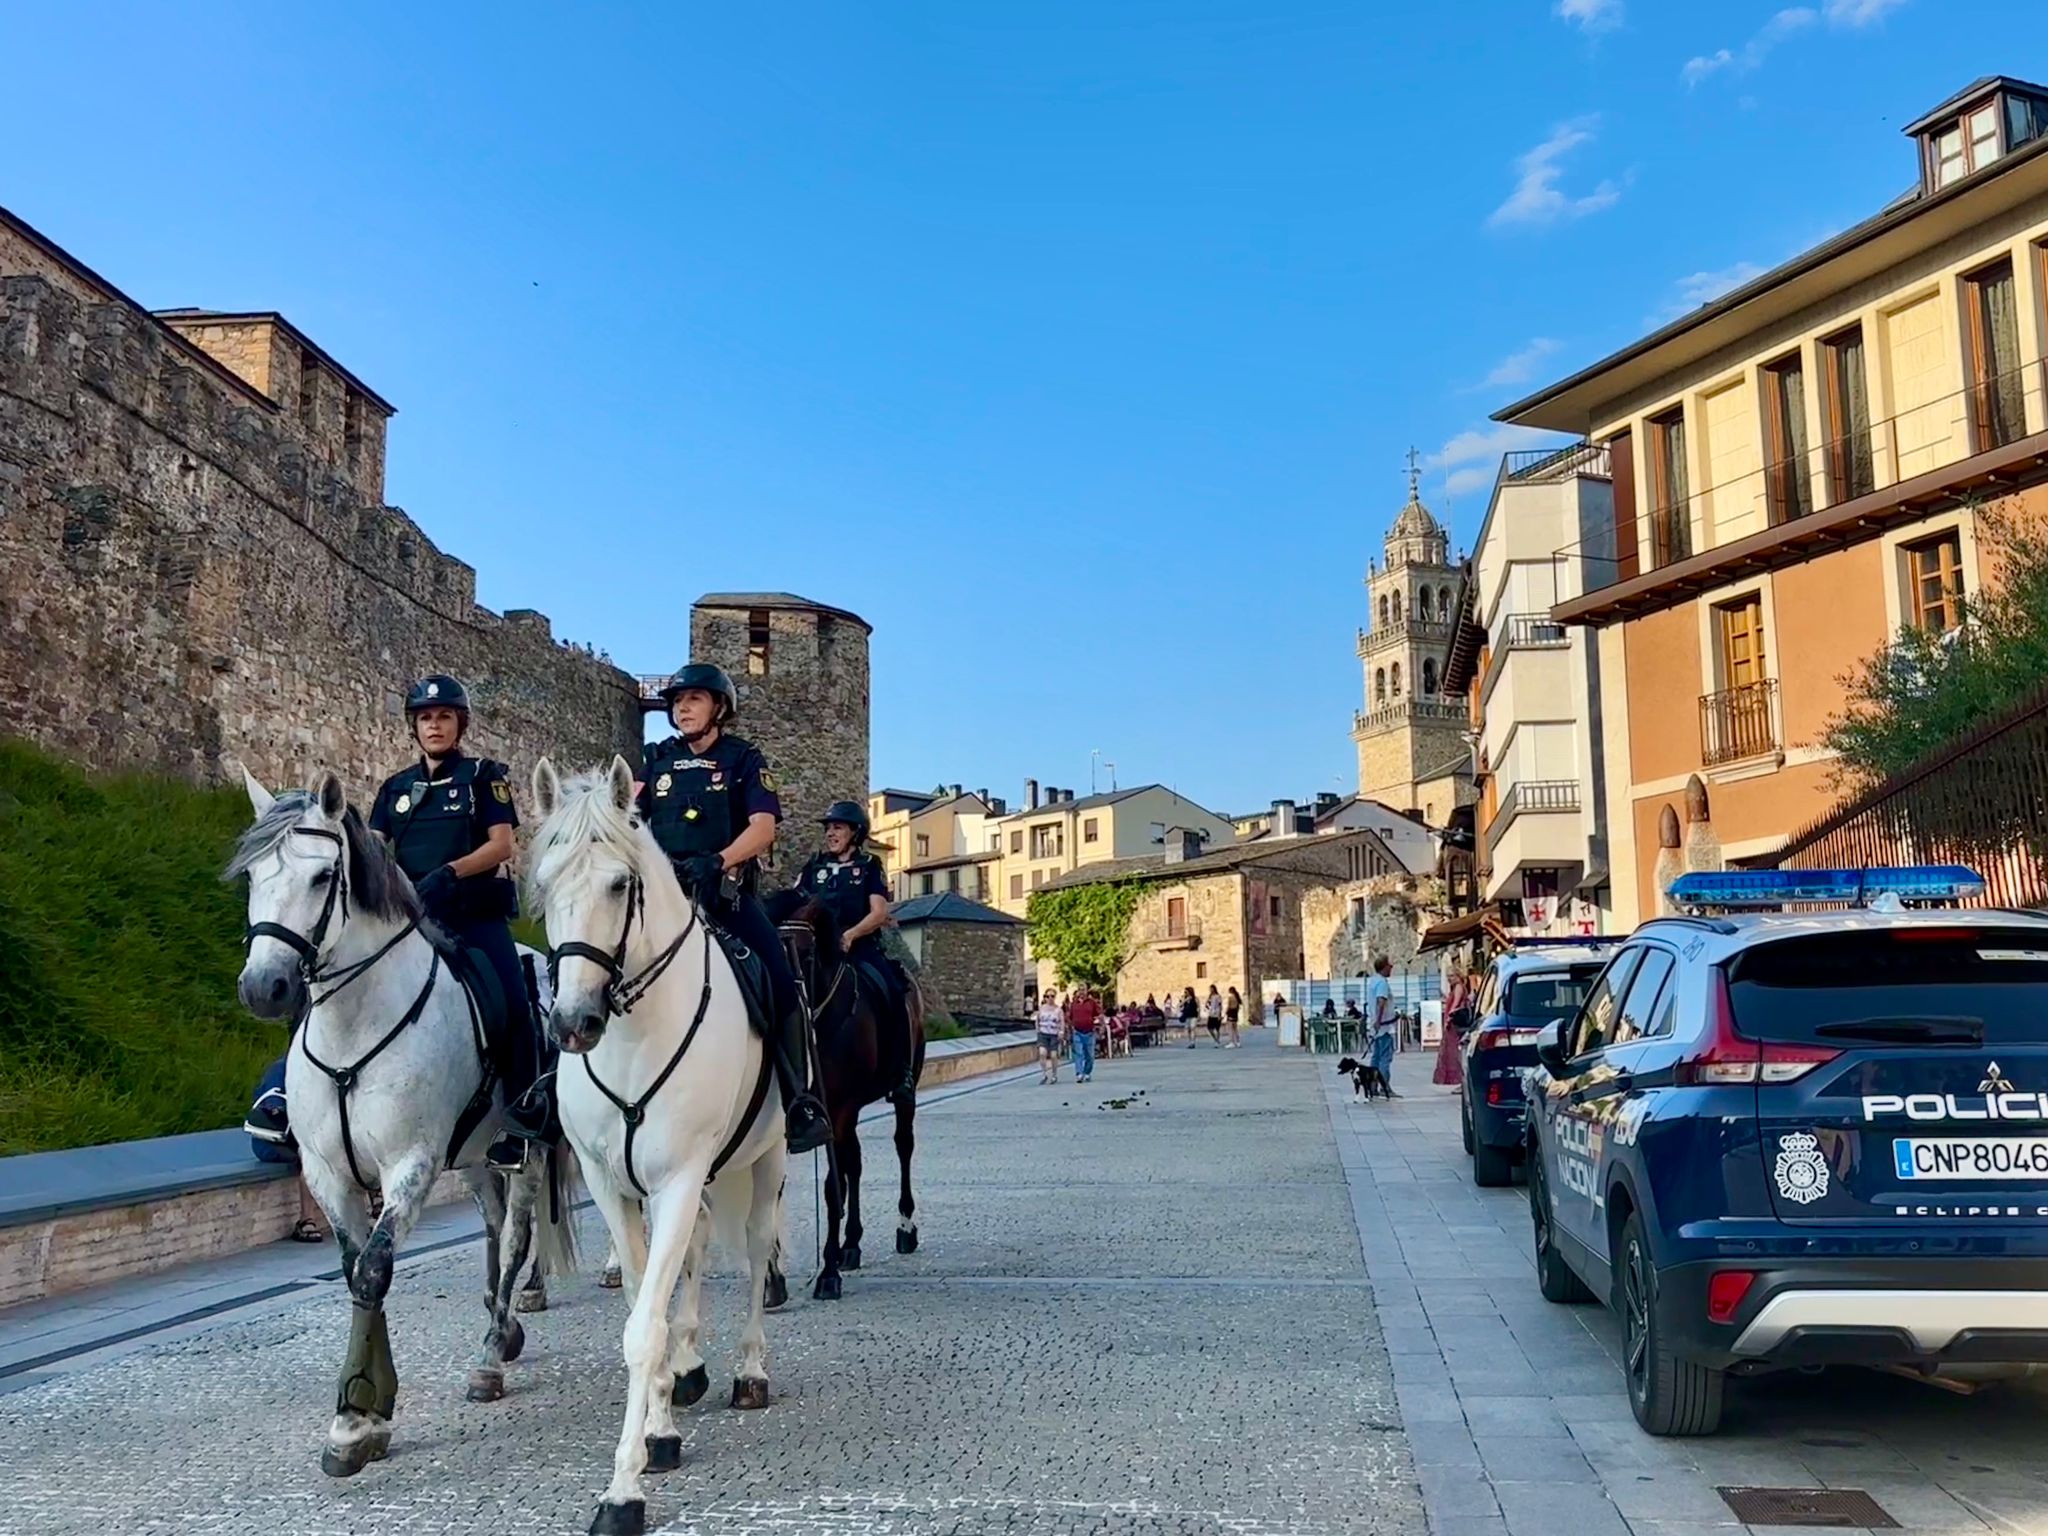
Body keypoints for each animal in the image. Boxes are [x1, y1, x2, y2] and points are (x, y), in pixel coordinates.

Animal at [231, 770, 577, 1482]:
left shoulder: (410, 1167)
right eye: (252, 874)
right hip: (474, 1158)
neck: (354, 1025)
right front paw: (361, 1413)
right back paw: (501, 1325)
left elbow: (374, 1269)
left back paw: (491, 1351)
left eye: (321, 877)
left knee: (517, 1234)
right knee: (494, 1226)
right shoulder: (329, 1176)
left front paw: (357, 1412)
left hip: (526, 1149)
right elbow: (354, 1271)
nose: (264, 987)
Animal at [528, 757, 782, 1536]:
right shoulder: (612, 1184)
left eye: (620, 884)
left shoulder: (677, 1177)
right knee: (696, 1252)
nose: (573, 1022)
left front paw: (622, 1491)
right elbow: (649, 1302)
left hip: (769, 1157)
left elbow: (644, 1329)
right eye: (544, 883)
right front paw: (662, 1426)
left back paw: (750, 1372)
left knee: (756, 1247)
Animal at [770, 897, 929, 1302]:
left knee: (903, 1145)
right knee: (853, 1164)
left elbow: (830, 1187)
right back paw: (851, 1244)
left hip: (901, 1094)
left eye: (806, 952)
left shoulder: (839, 1108)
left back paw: (905, 1227)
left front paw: (826, 1272)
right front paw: (772, 1277)